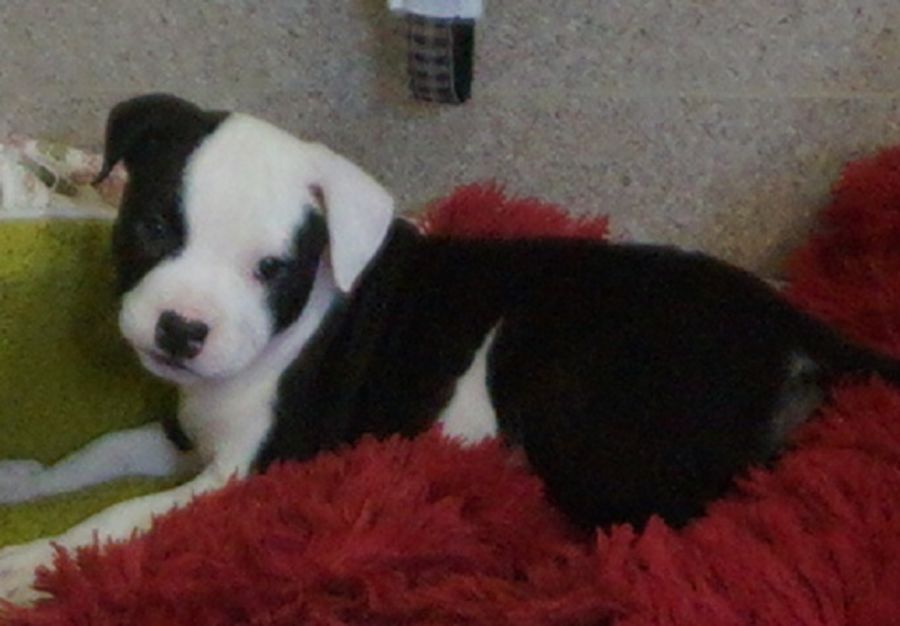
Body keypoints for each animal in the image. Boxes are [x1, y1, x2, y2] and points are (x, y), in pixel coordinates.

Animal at [3, 93, 900, 604]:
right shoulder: (186, 431)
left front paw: (33, 564)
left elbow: (125, 517)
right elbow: (98, 457)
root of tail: (791, 323)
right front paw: (23, 481)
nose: (182, 330)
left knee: (663, 523)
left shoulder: (247, 472)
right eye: (156, 227)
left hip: (557, 370)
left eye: (272, 269)